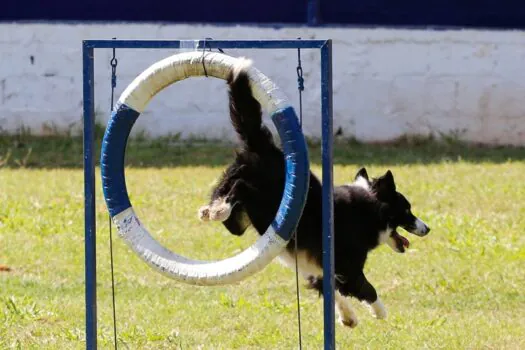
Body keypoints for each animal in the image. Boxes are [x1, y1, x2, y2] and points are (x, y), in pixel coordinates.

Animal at [198, 59, 430, 328]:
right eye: (407, 209)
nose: (427, 228)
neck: (371, 208)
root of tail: (265, 146)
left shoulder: (318, 270)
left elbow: (331, 292)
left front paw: (348, 317)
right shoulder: (348, 266)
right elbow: (366, 288)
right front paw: (380, 312)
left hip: (240, 216)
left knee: (227, 194)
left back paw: (212, 209)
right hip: (260, 203)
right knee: (241, 188)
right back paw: (220, 209)